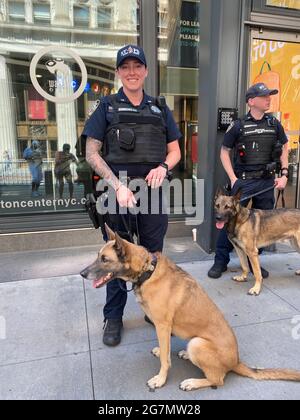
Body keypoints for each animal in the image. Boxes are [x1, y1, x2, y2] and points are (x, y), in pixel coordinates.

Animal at [79, 225, 300, 392]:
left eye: (105, 259)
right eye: (98, 256)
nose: (82, 273)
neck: (147, 271)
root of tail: (236, 361)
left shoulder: (163, 325)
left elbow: (165, 361)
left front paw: (160, 379)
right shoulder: (162, 328)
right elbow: (165, 351)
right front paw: (162, 351)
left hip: (197, 344)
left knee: (218, 379)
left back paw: (193, 382)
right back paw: (185, 355)